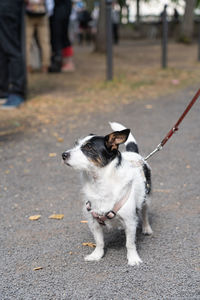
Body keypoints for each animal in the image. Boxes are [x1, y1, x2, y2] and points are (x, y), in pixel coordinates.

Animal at [61, 122, 152, 264]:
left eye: (88, 147)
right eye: (76, 144)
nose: (63, 154)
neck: (99, 183)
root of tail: (133, 153)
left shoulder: (130, 221)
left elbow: (130, 243)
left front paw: (133, 258)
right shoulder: (93, 222)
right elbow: (99, 242)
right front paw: (97, 255)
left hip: (146, 198)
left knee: (144, 212)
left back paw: (147, 228)